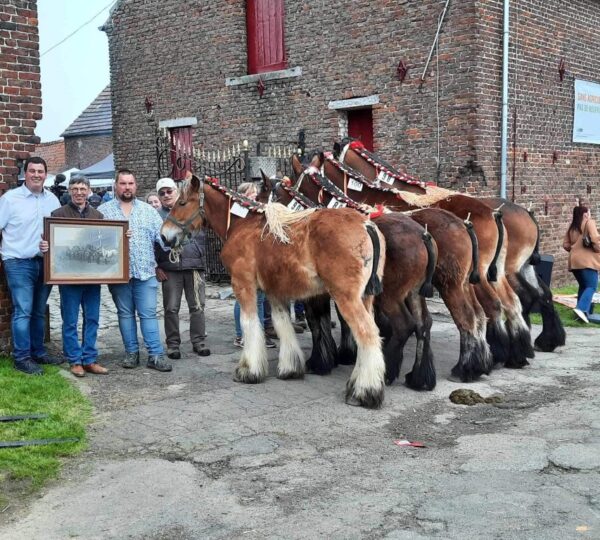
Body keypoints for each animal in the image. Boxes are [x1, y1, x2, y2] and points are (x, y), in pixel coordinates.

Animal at [159, 175, 386, 408]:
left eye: (182, 203)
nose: (164, 235)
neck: (241, 225)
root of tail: (365, 224)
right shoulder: (275, 291)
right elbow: (282, 324)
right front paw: (290, 368)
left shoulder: (244, 285)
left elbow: (249, 323)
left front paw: (249, 371)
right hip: (365, 297)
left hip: (346, 298)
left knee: (367, 333)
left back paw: (365, 392)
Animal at [284, 167, 494, 382]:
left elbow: (320, 321)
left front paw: (325, 360)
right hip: (454, 286)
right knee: (464, 317)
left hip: (440, 287)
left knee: (462, 319)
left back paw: (460, 369)